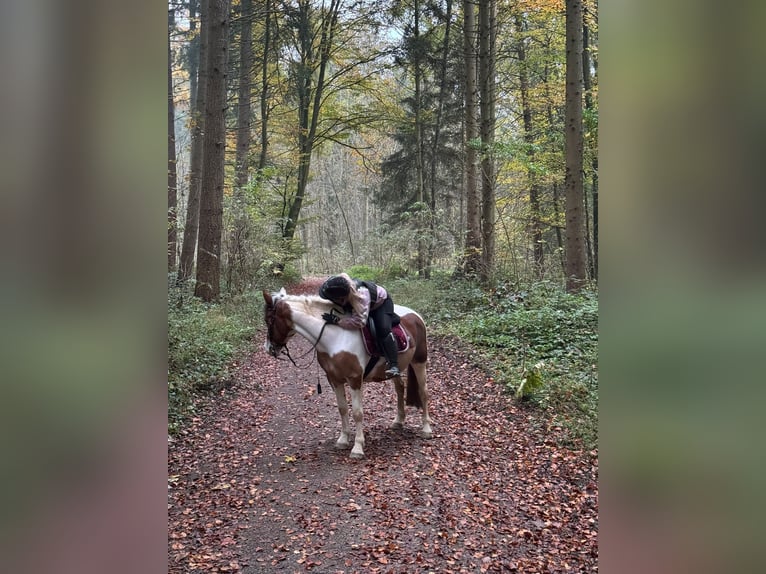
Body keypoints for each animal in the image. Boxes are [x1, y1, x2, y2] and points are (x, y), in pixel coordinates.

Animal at [262, 290, 432, 462]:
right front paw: (343, 440)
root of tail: (416, 316)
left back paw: (426, 428)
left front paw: (357, 447)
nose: (269, 348)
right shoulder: (334, 379)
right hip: (394, 368)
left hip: (419, 361)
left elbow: (357, 413)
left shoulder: (354, 379)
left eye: (269, 320)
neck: (335, 337)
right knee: (400, 389)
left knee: (423, 392)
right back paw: (398, 421)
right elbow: (342, 408)